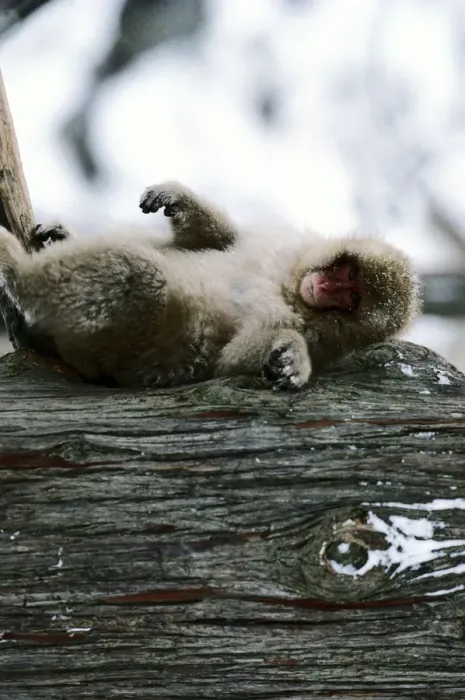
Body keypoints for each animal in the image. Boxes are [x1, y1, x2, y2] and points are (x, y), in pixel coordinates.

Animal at [0, 181, 421, 389]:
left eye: (351, 299)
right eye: (349, 275)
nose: (326, 288)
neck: (289, 287)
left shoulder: (314, 332)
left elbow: (229, 360)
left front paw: (291, 355)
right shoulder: (284, 243)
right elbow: (217, 242)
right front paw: (178, 198)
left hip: (124, 348)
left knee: (139, 278)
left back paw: (17, 272)